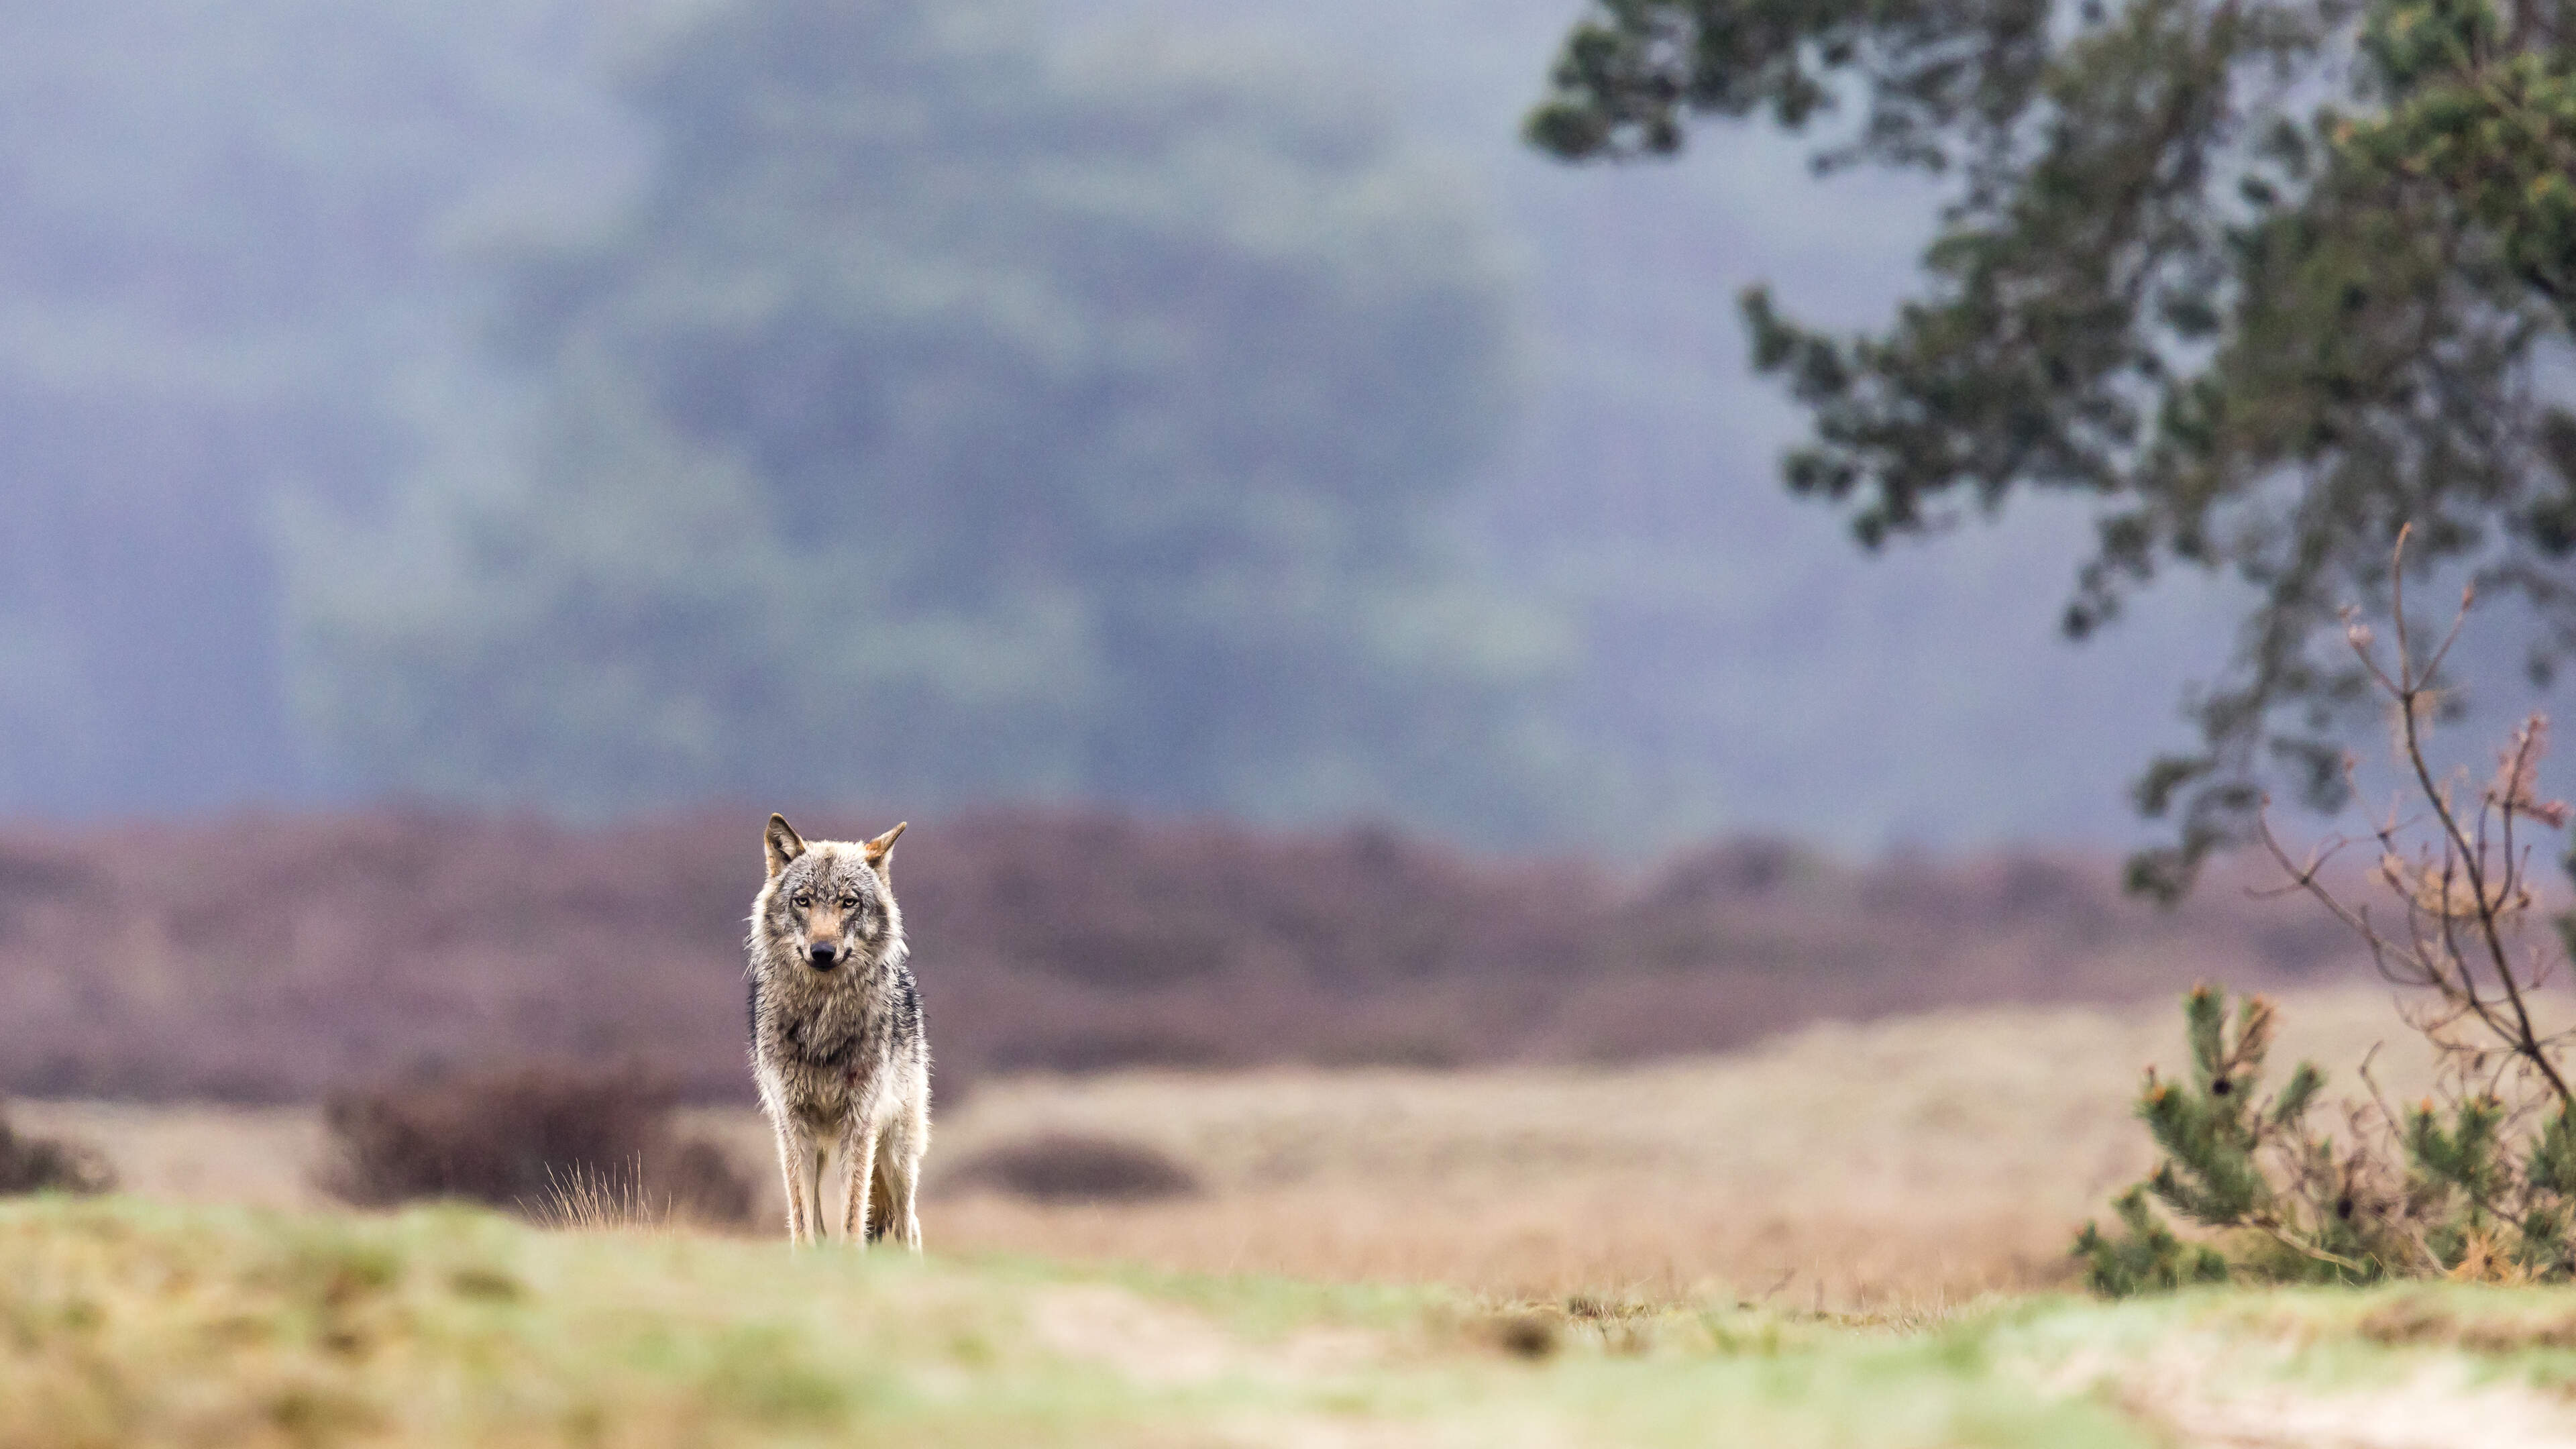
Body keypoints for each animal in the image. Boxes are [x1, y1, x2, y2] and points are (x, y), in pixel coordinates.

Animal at [745, 812, 928, 1248]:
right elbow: (802, 1220)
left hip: (896, 1153)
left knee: (908, 1225)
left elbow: (852, 1216)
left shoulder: (859, 1124)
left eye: (849, 902)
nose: (823, 952)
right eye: (803, 900)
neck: (822, 1020)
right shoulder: (792, 1124)